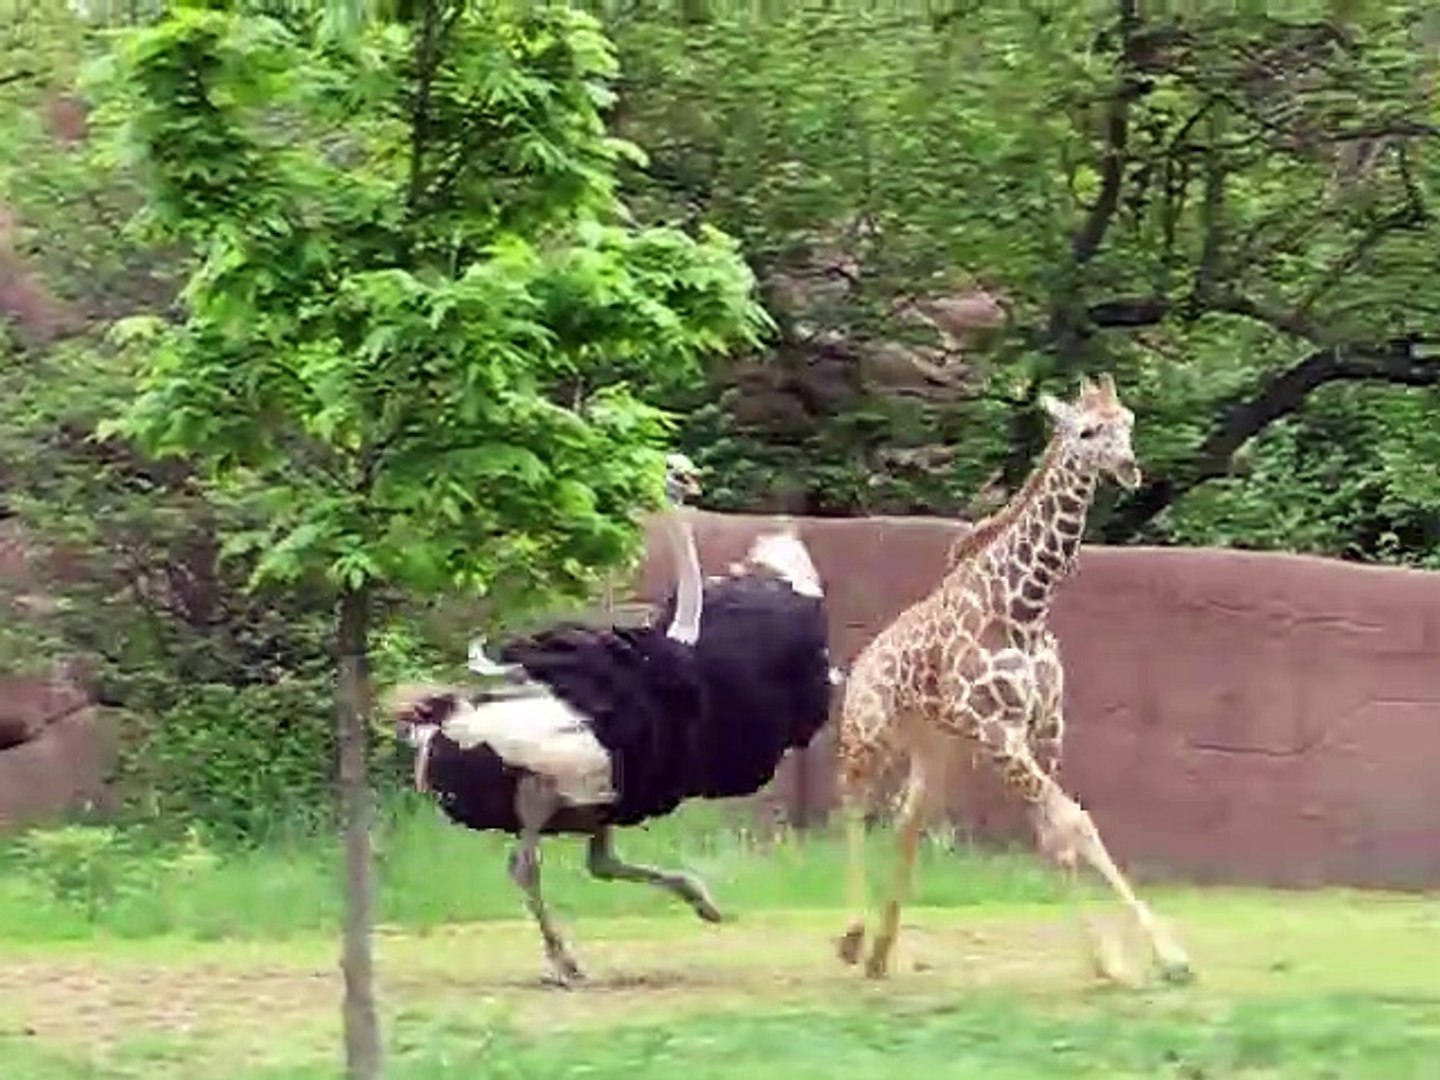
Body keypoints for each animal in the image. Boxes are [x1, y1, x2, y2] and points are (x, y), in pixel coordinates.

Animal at [834, 372, 1194, 985]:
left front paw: (1108, 962)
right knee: (853, 805)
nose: (1128, 466)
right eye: (1086, 430)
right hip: (869, 736)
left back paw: (882, 952)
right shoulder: (999, 731)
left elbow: (1060, 835)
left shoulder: (1044, 727)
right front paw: (1165, 955)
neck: (1026, 609)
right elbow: (1074, 821)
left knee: (906, 821)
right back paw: (854, 938)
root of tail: (857, 667)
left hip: (939, 751)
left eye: (1128, 421)